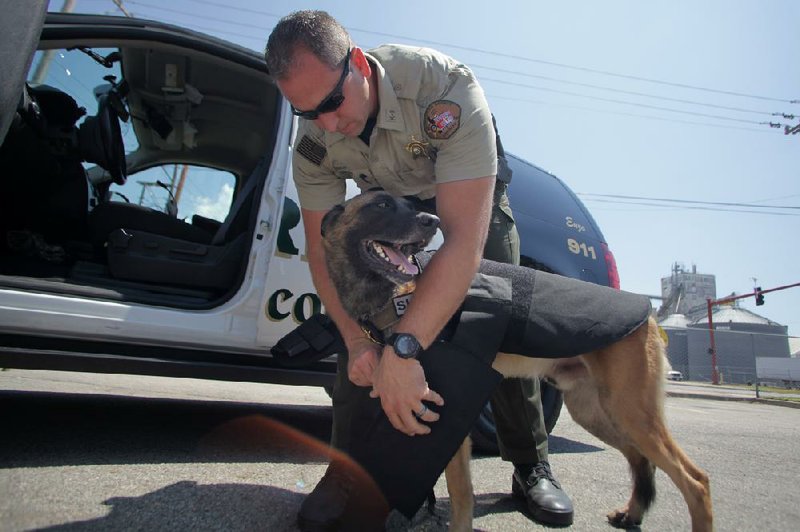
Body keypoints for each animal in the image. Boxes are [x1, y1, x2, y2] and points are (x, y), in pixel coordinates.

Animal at [318, 191, 712, 532]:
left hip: (631, 412)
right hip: (597, 411)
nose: (432, 221)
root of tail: (648, 316)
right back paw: (632, 513)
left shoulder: (446, 414)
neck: (397, 296)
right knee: (641, 459)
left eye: (411, 206)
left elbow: (460, 491)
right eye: (382, 204)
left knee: (696, 480)